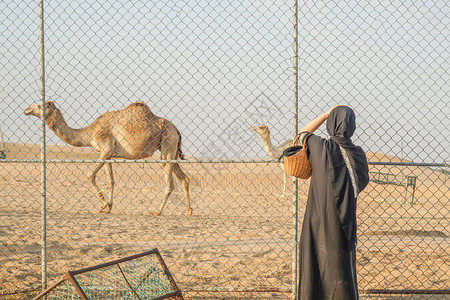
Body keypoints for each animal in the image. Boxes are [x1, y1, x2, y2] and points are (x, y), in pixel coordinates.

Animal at [25, 101, 192, 216]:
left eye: (39, 105)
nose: (26, 109)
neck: (90, 133)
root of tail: (176, 129)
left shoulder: (105, 149)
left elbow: (90, 175)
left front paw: (103, 204)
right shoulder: (109, 155)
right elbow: (110, 181)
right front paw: (109, 207)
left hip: (168, 143)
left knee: (170, 183)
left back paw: (158, 211)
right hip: (170, 149)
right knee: (184, 178)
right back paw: (189, 211)